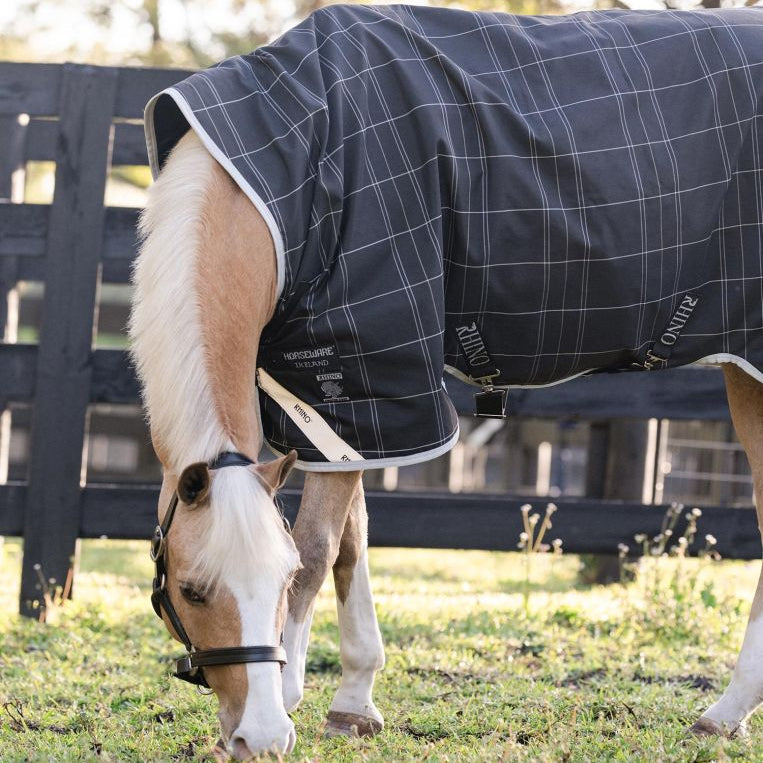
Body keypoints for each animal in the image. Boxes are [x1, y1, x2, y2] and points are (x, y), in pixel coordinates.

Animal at [129, 5, 763, 758]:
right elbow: (352, 542)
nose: (259, 737)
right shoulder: (337, 405)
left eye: (277, 583)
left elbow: (319, 548)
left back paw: (725, 710)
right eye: (193, 591)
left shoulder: (371, 371)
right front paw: (354, 702)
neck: (288, 174)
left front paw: (293, 694)